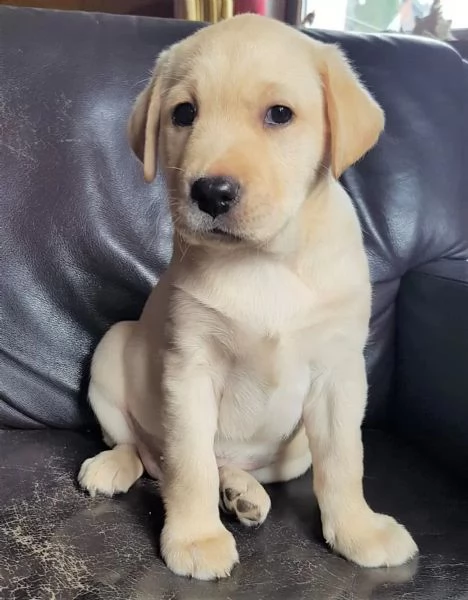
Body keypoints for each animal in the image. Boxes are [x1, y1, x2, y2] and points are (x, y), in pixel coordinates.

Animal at [77, 12, 416, 576]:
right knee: (144, 451)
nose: (210, 193)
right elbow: (189, 464)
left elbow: (345, 462)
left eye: (280, 115)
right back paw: (115, 466)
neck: (263, 260)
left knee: (229, 465)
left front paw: (357, 529)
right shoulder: (190, 369)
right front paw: (195, 537)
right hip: (111, 350)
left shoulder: (340, 375)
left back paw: (242, 492)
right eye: (184, 113)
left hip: (294, 451)